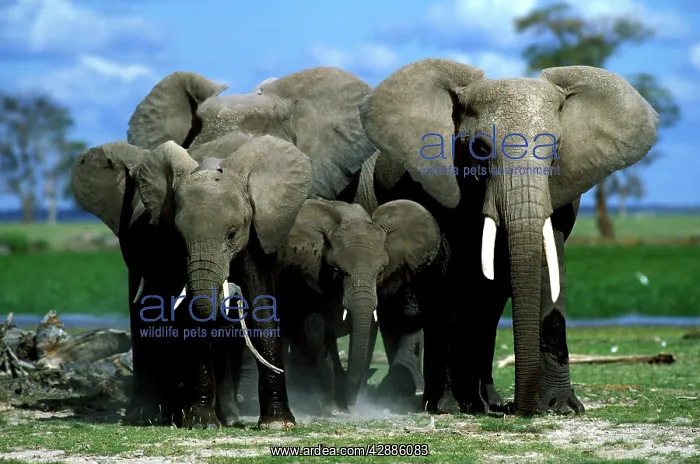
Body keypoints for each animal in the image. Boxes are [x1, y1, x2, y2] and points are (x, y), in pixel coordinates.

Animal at [72, 135, 314, 429]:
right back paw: (151, 416)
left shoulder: (259, 236)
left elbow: (262, 309)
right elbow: (189, 317)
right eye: (179, 235)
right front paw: (201, 423)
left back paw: (224, 417)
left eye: (233, 233)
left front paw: (277, 424)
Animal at [274, 197, 441, 415]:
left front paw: (351, 405)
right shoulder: (305, 275)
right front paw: (330, 407)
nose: (351, 405)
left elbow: (368, 331)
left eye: (380, 271)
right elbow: (315, 330)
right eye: (336, 270)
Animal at [358, 59, 659, 416]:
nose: (521, 409)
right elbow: (446, 279)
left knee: (488, 306)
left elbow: (549, 266)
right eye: (479, 148)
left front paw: (561, 407)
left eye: (555, 149)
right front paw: (446, 407)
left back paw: (486, 401)